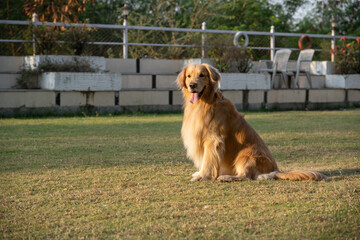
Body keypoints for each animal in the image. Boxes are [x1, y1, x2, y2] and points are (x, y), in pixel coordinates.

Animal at [176, 63, 326, 182]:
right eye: (189, 76)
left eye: (202, 75)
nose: (192, 85)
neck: (204, 104)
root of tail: (276, 170)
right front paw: (200, 173)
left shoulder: (213, 140)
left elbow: (208, 161)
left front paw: (203, 176)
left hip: (246, 154)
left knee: (245, 176)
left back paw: (227, 177)